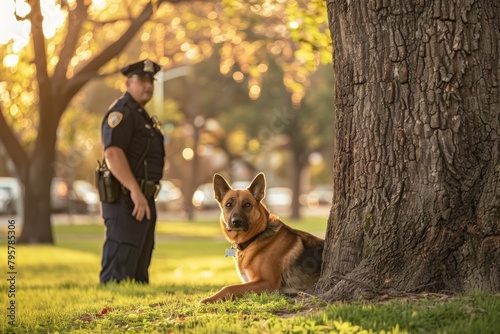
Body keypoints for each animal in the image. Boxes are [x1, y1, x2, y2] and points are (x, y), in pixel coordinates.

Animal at [199, 174, 324, 304]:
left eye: (247, 205)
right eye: (229, 204)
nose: (236, 222)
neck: (256, 237)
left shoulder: (266, 282)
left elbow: (229, 287)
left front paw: (208, 299)